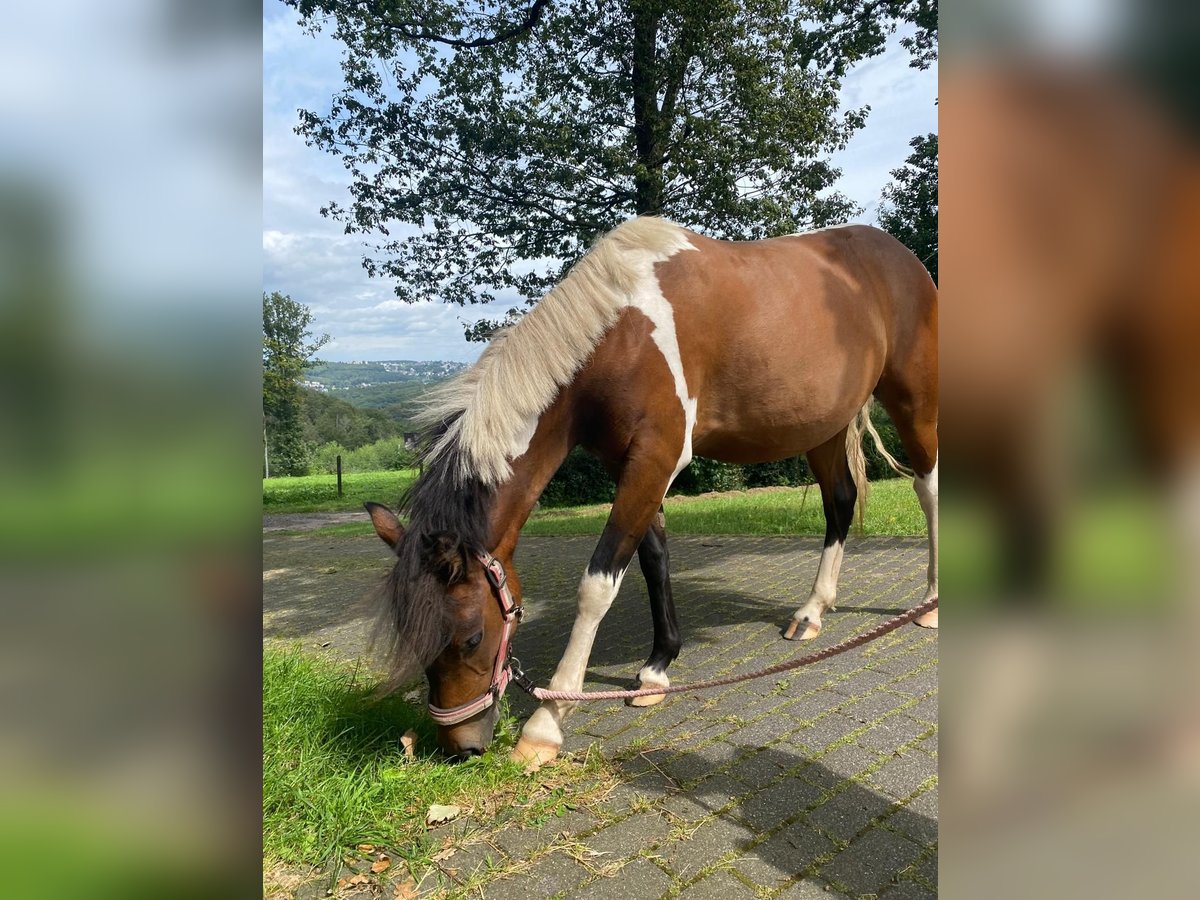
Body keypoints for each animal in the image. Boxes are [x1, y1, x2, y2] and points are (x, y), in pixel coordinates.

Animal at [362, 218, 936, 768]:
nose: (462, 746)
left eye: (471, 638)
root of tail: (900, 258)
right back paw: (813, 611)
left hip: (914, 399)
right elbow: (652, 558)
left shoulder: (656, 460)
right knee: (838, 501)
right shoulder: (633, 465)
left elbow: (598, 584)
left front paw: (547, 723)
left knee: (927, 487)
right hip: (823, 425)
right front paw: (658, 669)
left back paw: (929, 602)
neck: (622, 335)